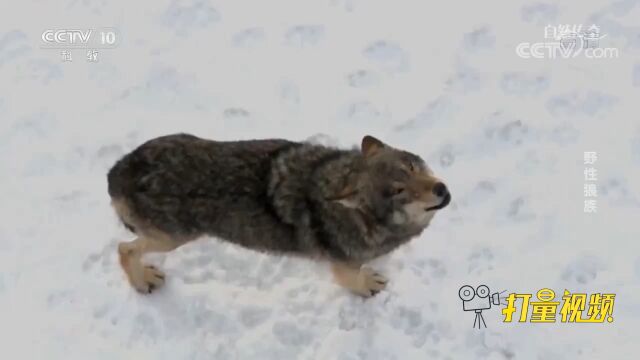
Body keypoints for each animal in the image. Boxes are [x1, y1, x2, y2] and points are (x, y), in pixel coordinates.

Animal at [107, 134, 450, 296]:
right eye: (398, 191)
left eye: (412, 166)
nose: (441, 189)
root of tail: (116, 172)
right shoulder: (341, 266)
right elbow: (354, 281)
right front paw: (367, 286)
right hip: (175, 238)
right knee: (124, 249)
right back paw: (143, 282)